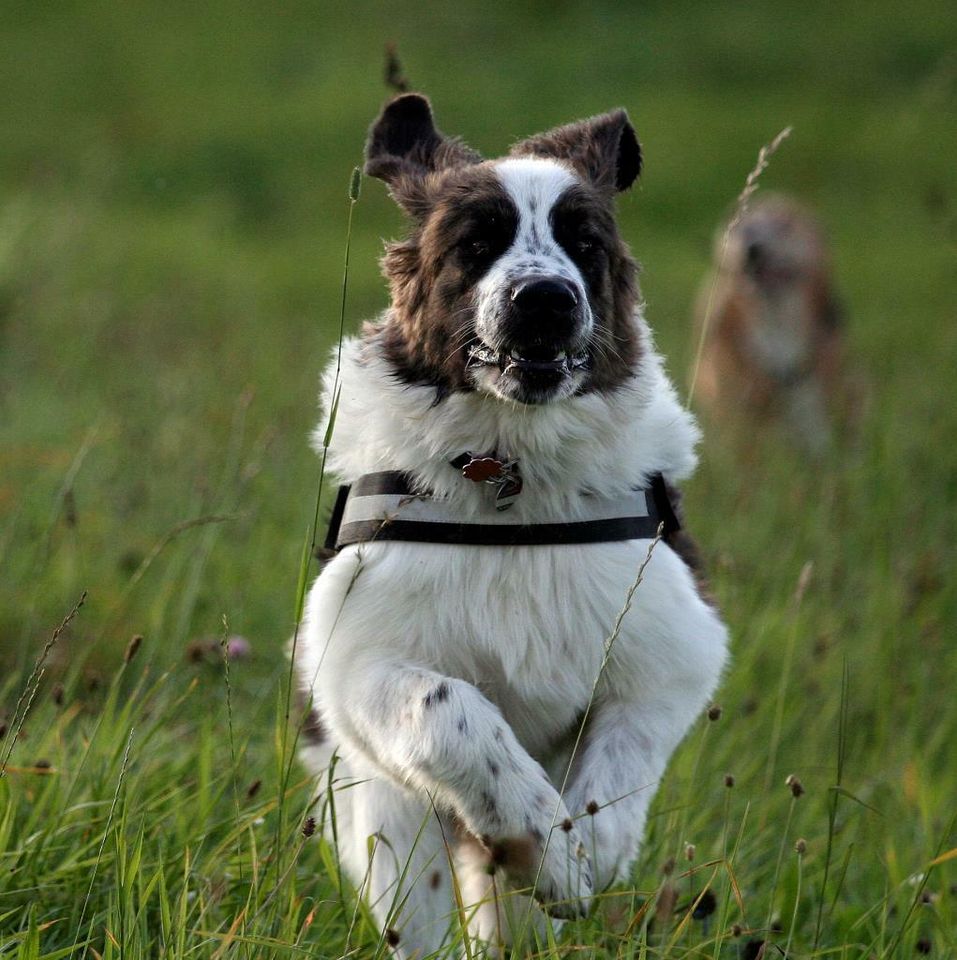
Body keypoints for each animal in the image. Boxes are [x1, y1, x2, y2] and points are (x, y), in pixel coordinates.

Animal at [296, 92, 728, 960]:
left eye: (584, 245)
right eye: (477, 243)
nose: (545, 300)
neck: (510, 475)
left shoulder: (673, 647)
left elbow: (619, 762)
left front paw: (582, 856)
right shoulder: (355, 657)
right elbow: (448, 708)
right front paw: (545, 846)